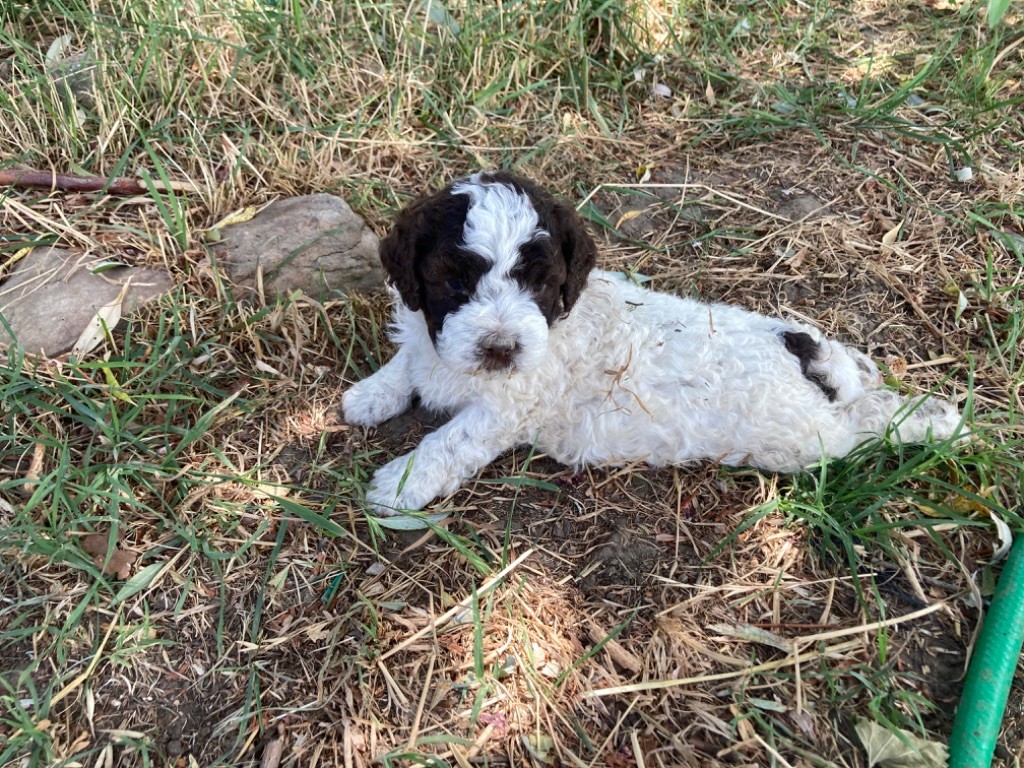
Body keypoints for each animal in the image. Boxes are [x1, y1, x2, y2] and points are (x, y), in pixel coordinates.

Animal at [342, 171, 958, 514]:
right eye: (454, 282)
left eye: (538, 284)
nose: (501, 348)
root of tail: (805, 354)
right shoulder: (430, 342)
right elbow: (407, 361)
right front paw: (370, 395)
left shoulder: (505, 409)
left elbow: (447, 443)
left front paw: (398, 484)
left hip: (807, 438)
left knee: (865, 423)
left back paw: (939, 420)